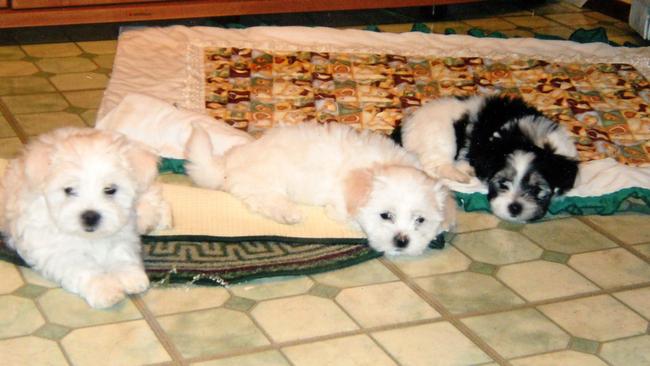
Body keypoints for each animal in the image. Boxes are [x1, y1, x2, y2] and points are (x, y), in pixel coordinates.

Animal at [0, 127, 171, 308]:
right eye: (69, 190)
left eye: (110, 190)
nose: (90, 216)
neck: (89, 237)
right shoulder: (56, 250)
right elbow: (83, 268)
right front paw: (104, 289)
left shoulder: (123, 233)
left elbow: (121, 253)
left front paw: (129, 275)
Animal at [185, 121, 454, 256]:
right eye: (385, 215)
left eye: (420, 220)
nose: (402, 241)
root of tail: (229, 162)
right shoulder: (340, 204)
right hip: (265, 179)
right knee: (261, 198)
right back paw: (288, 212)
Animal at [390, 94, 576, 222]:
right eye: (503, 183)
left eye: (536, 189)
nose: (515, 208)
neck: (527, 140)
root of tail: (405, 125)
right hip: (441, 136)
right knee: (434, 166)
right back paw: (460, 175)